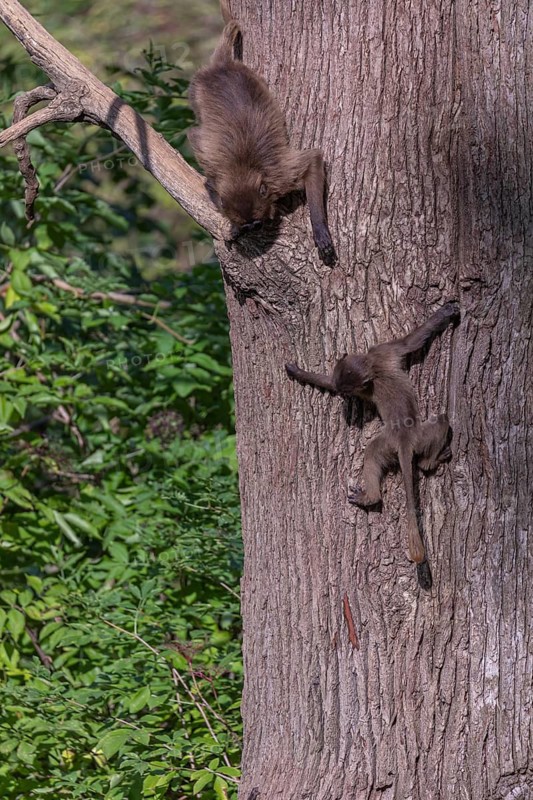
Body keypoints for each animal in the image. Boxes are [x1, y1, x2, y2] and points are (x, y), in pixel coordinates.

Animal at [188, 1, 336, 266]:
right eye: (249, 226)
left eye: (256, 223)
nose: (254, 228)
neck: (244, 168)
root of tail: (221, 66)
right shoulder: (219, 175)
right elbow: (208, 177)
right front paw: (234, 228)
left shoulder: (280, 176)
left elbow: (313, 160)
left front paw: (320, 230)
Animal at [285, 301, 460, 589]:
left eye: (346, 393)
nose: (343, 396)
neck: (373, 368)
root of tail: (404, 439)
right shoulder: (383, 353)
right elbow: (412, 340)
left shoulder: (380, 353)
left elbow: (413, 339)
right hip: (411, 438)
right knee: (439, 426)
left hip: (391, 442)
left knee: (379, 453)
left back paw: (374, 494)